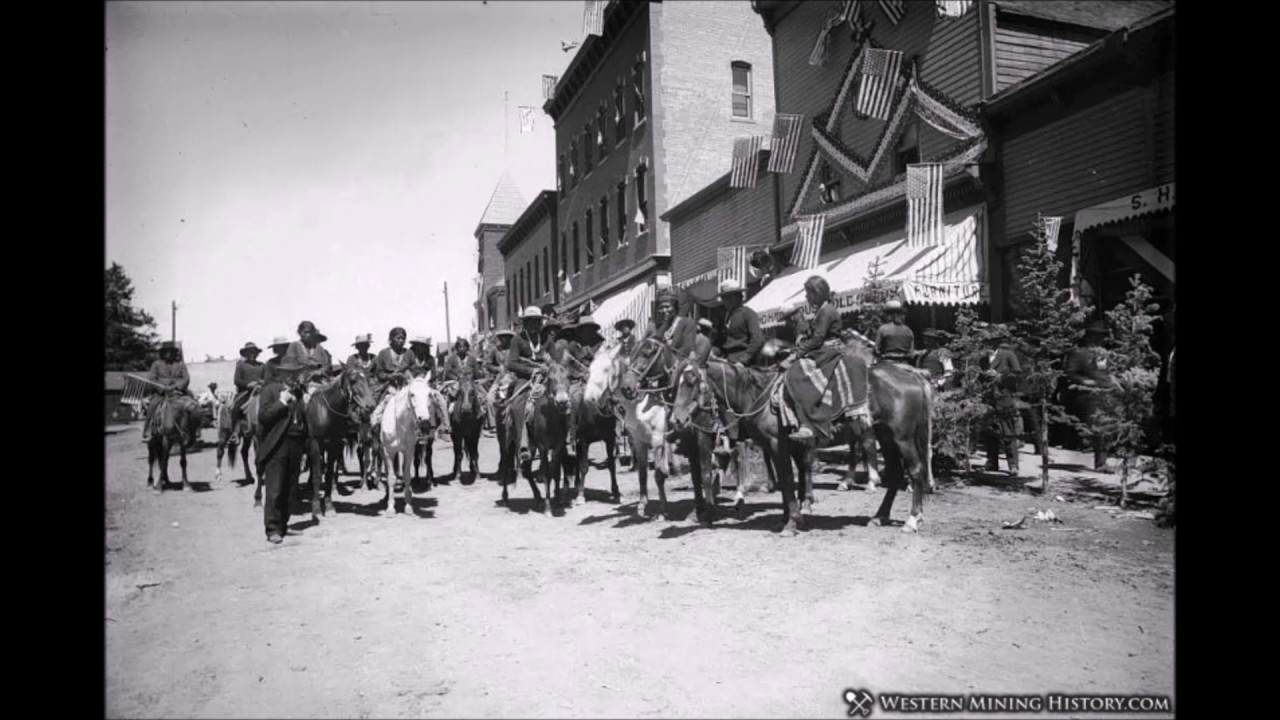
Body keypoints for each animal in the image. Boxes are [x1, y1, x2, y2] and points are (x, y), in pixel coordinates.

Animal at [300, 361, 373, 517]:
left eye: (368, 379)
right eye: (353, 380)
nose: (370, 405)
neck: (326, 412)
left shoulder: (334, 446)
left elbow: (328, 474)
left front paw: (329, 507)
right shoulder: (315, 445)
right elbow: (317, 475)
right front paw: (316, 508)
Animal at [373, 376, 440, 515]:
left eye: (429, 394)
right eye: (412, 394)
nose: (425, 424)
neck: (399, 424)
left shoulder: (409, 451)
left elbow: (407, 476)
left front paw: (408, 506)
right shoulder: (388, 452)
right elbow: (391, 478)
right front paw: (390, 508)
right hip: (382, 451)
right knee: (387, 470)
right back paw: (386, 497)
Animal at [496, 363, 573, 509]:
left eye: (567, 376)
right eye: (549, 378)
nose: (562, 402)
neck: (551, 419)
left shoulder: (558, 446)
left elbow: (556, 472)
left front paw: (558, 500)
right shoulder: (543, 447)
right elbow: (547, 474)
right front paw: (548, 507)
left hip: (530, 446)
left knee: (526, 469)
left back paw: (537, 496)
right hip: (506, 442)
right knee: (505, 465)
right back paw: (505, 497)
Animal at [583, 345, 680, 517]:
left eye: (606, 369)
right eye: (590, 368)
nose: (589, 398)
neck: (642, 405)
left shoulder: (657, 441)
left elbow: (658, 475)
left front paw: (662, 510)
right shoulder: (639, 442)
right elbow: (642, 474)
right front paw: (642, 506)